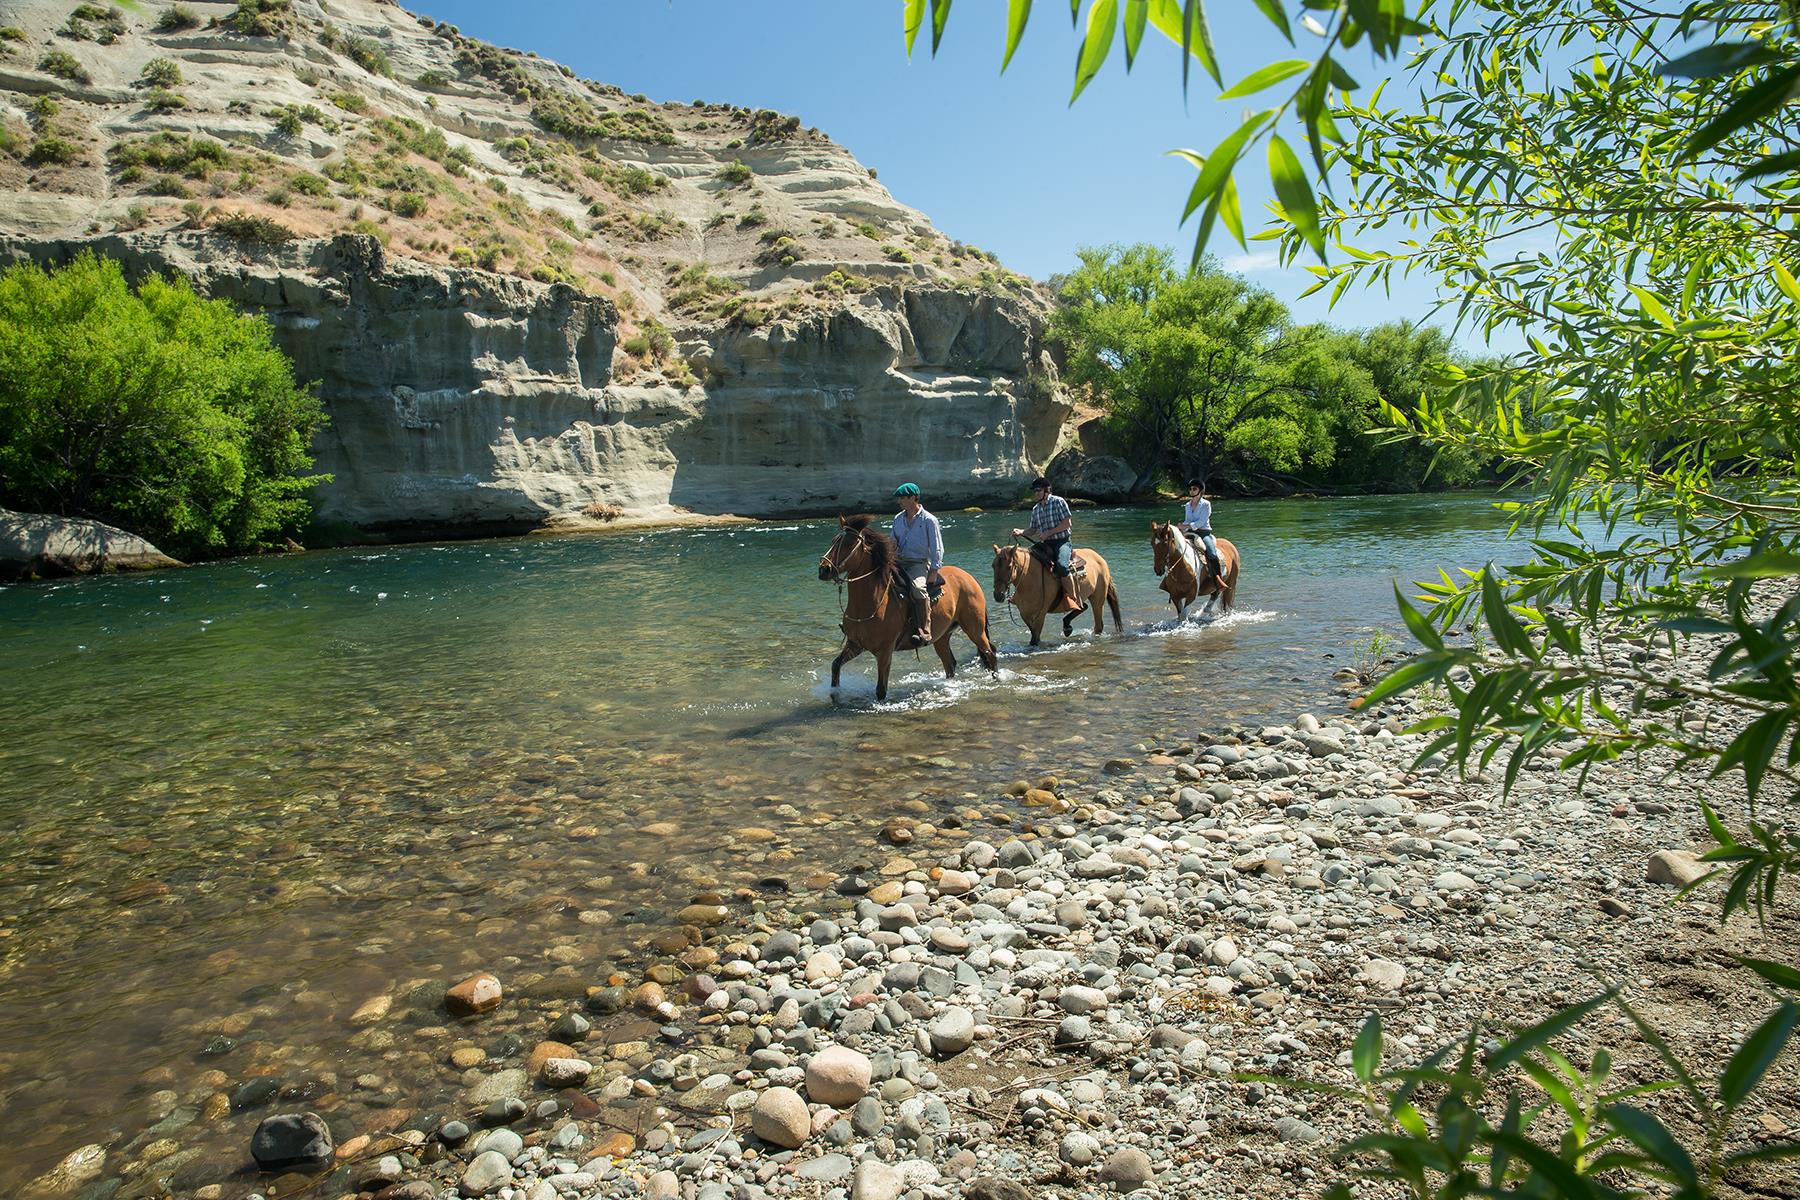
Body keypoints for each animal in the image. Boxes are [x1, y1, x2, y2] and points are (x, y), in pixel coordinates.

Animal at [817, 518, 1000, 705]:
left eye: (849, 543)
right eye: (833, 540)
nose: (824, 569)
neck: (872, 602)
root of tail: (969, 577)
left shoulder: (885, 650)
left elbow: (881, 690)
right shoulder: (855, 644)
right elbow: (835, 665)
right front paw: (835, 697)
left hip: (975, 629)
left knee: (990, 653)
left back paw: (996, 681)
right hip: (941, 637)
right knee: (950, 663)